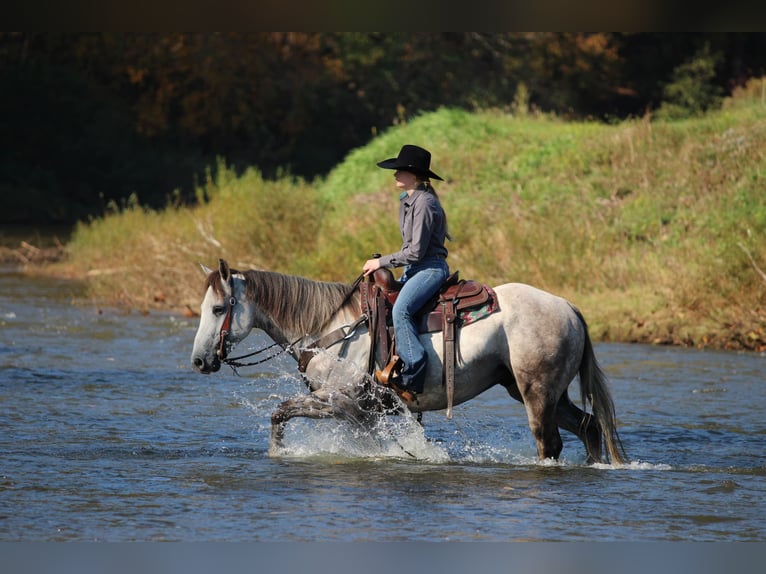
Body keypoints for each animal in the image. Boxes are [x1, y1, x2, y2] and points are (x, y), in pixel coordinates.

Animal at [190, 258, 626, 464]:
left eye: (217, 309)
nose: (198, 361)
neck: (331, 327)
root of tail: (567, 306)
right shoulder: (362, 411)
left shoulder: (338, 401)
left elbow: (280, 412)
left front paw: (278, 454)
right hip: (542, 392)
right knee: (588, 427)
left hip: (537, 392)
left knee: (549, 443)